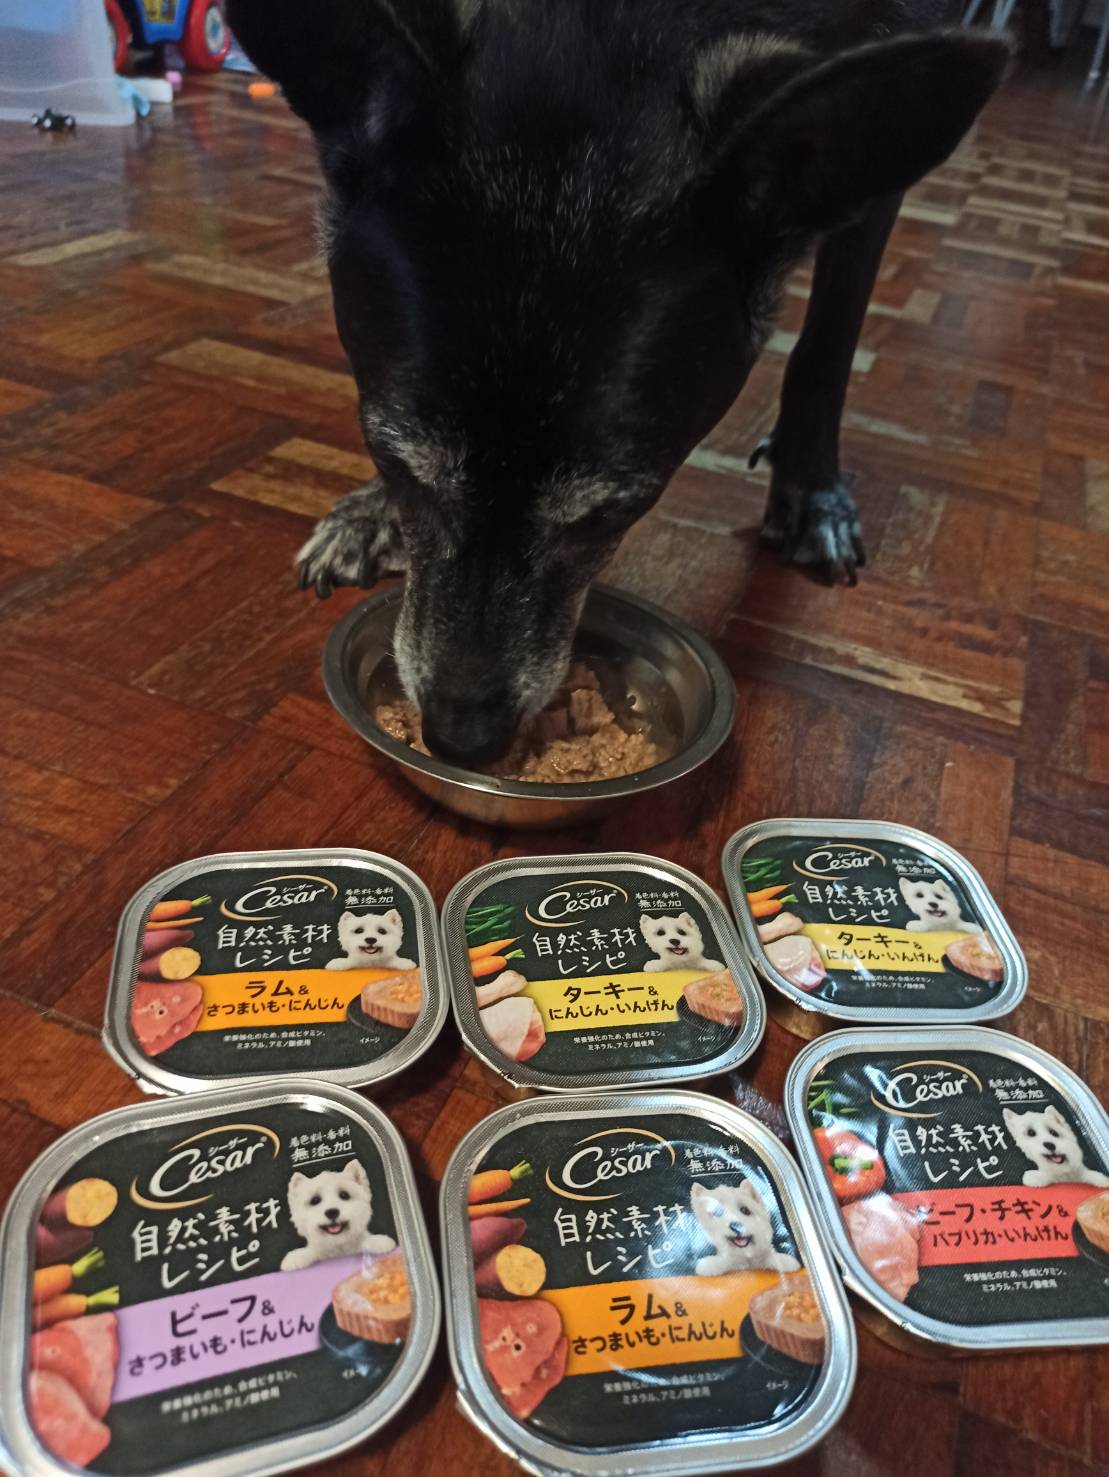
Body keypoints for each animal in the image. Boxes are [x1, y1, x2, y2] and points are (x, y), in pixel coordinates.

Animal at [228, 1, 1007, 765]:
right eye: (392, 463)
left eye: (609, 516)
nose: (461, 738)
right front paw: (372, 513)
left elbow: (832, 336)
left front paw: (815, 491)